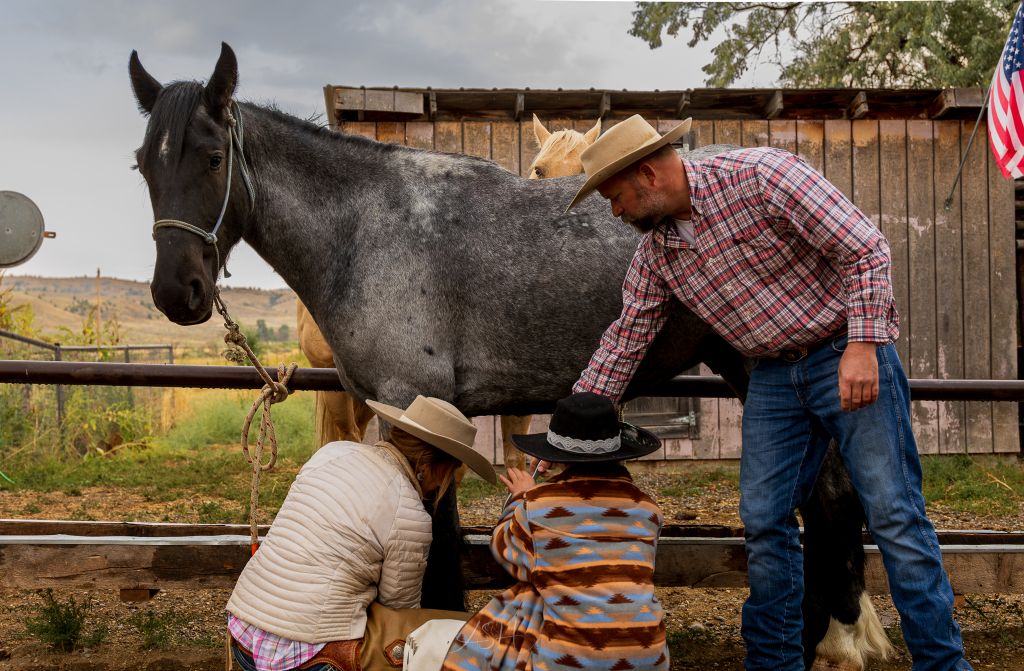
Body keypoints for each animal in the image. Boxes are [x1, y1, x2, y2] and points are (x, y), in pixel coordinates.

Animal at [130, 44, 888, 667]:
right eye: (144, 164)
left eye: (213, 156)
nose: (176, 291)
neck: (365, 230)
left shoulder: (411, 400)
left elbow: (433, 536)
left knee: (829, 502)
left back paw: (835, 640)